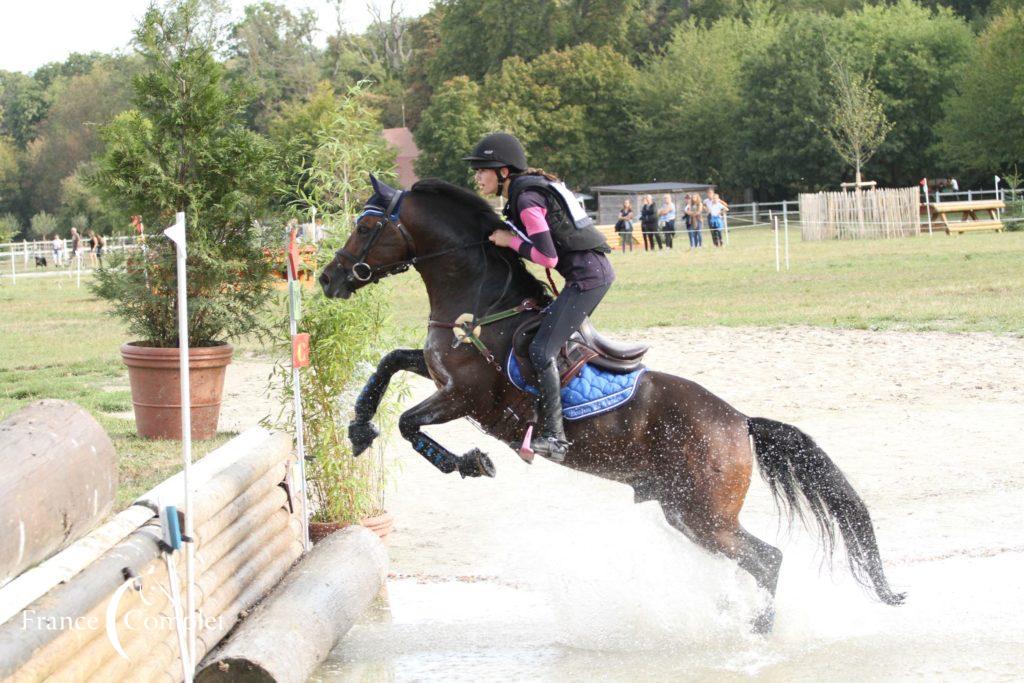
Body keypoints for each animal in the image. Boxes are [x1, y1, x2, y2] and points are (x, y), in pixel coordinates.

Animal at [317, 175, 905, 630]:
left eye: (365, 227)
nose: (327, 278)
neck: (481, 301)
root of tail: (740, 422)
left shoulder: (466, 394)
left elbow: (409, 423)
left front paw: (470, 462)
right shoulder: (438, 371)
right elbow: (388, 364)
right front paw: (358, 429)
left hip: (706, 513)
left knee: (768, 559)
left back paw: (758, 628)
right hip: (682, 511)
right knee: (753, 560)